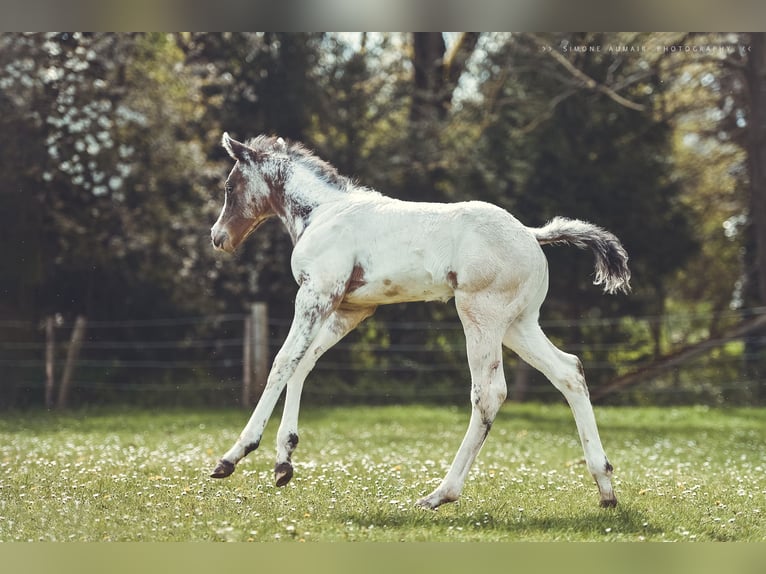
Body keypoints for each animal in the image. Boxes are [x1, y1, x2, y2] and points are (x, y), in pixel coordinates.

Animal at [209, 132, 630, 510]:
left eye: (230, 186)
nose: (218, 237)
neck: (324, 212)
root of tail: (531, 233)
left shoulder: (316, 295)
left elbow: (282, 363)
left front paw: (233, 456)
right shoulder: (349, 309)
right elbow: (302, 363)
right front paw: (284, 462)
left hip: (480, 317)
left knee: (489, 393)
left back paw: (440, 494)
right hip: (519, 325)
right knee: (569, 371)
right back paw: (605, 487)